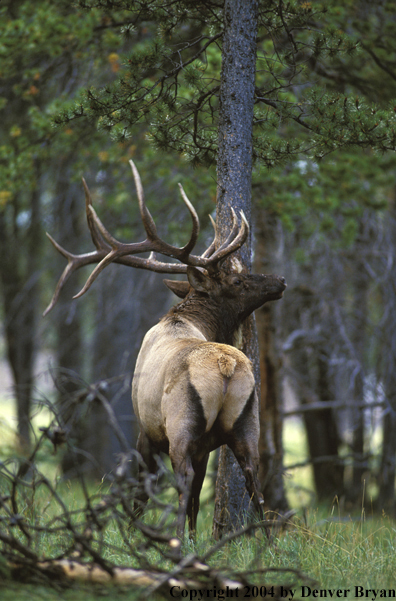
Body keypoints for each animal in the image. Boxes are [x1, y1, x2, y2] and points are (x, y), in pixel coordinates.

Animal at [44, 159, 286, 540]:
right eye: (238, 279)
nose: (280, 281)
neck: (182, 320)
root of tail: (225, 365)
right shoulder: (202, 445)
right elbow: (197, 498)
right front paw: (192, 536)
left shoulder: (147, 429)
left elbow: (144, 489)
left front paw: (132, 532)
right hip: (246, 421)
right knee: (252, 480)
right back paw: (266, 543)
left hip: (181, 424)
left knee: (182, 479)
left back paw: (172, 541)